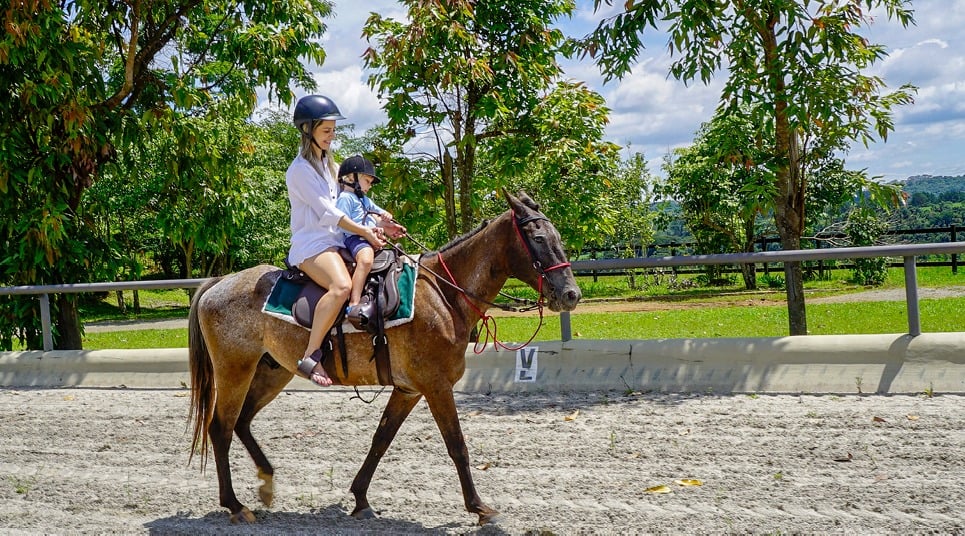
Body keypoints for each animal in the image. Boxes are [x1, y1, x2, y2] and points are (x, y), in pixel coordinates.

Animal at [186, 188, 580, 524]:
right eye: (539, 240)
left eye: (558, 238)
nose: (571, 295)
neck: (443, 296)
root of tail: (219, 282)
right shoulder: (436, 387)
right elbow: (457, 445)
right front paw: (480, 507)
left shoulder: (408, 389)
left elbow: (381, 439)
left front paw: (360, 498)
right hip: (235, 370)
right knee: (220, 428)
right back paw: (235, 505)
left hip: (272, 372)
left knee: (242, 422)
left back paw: (266, 481)